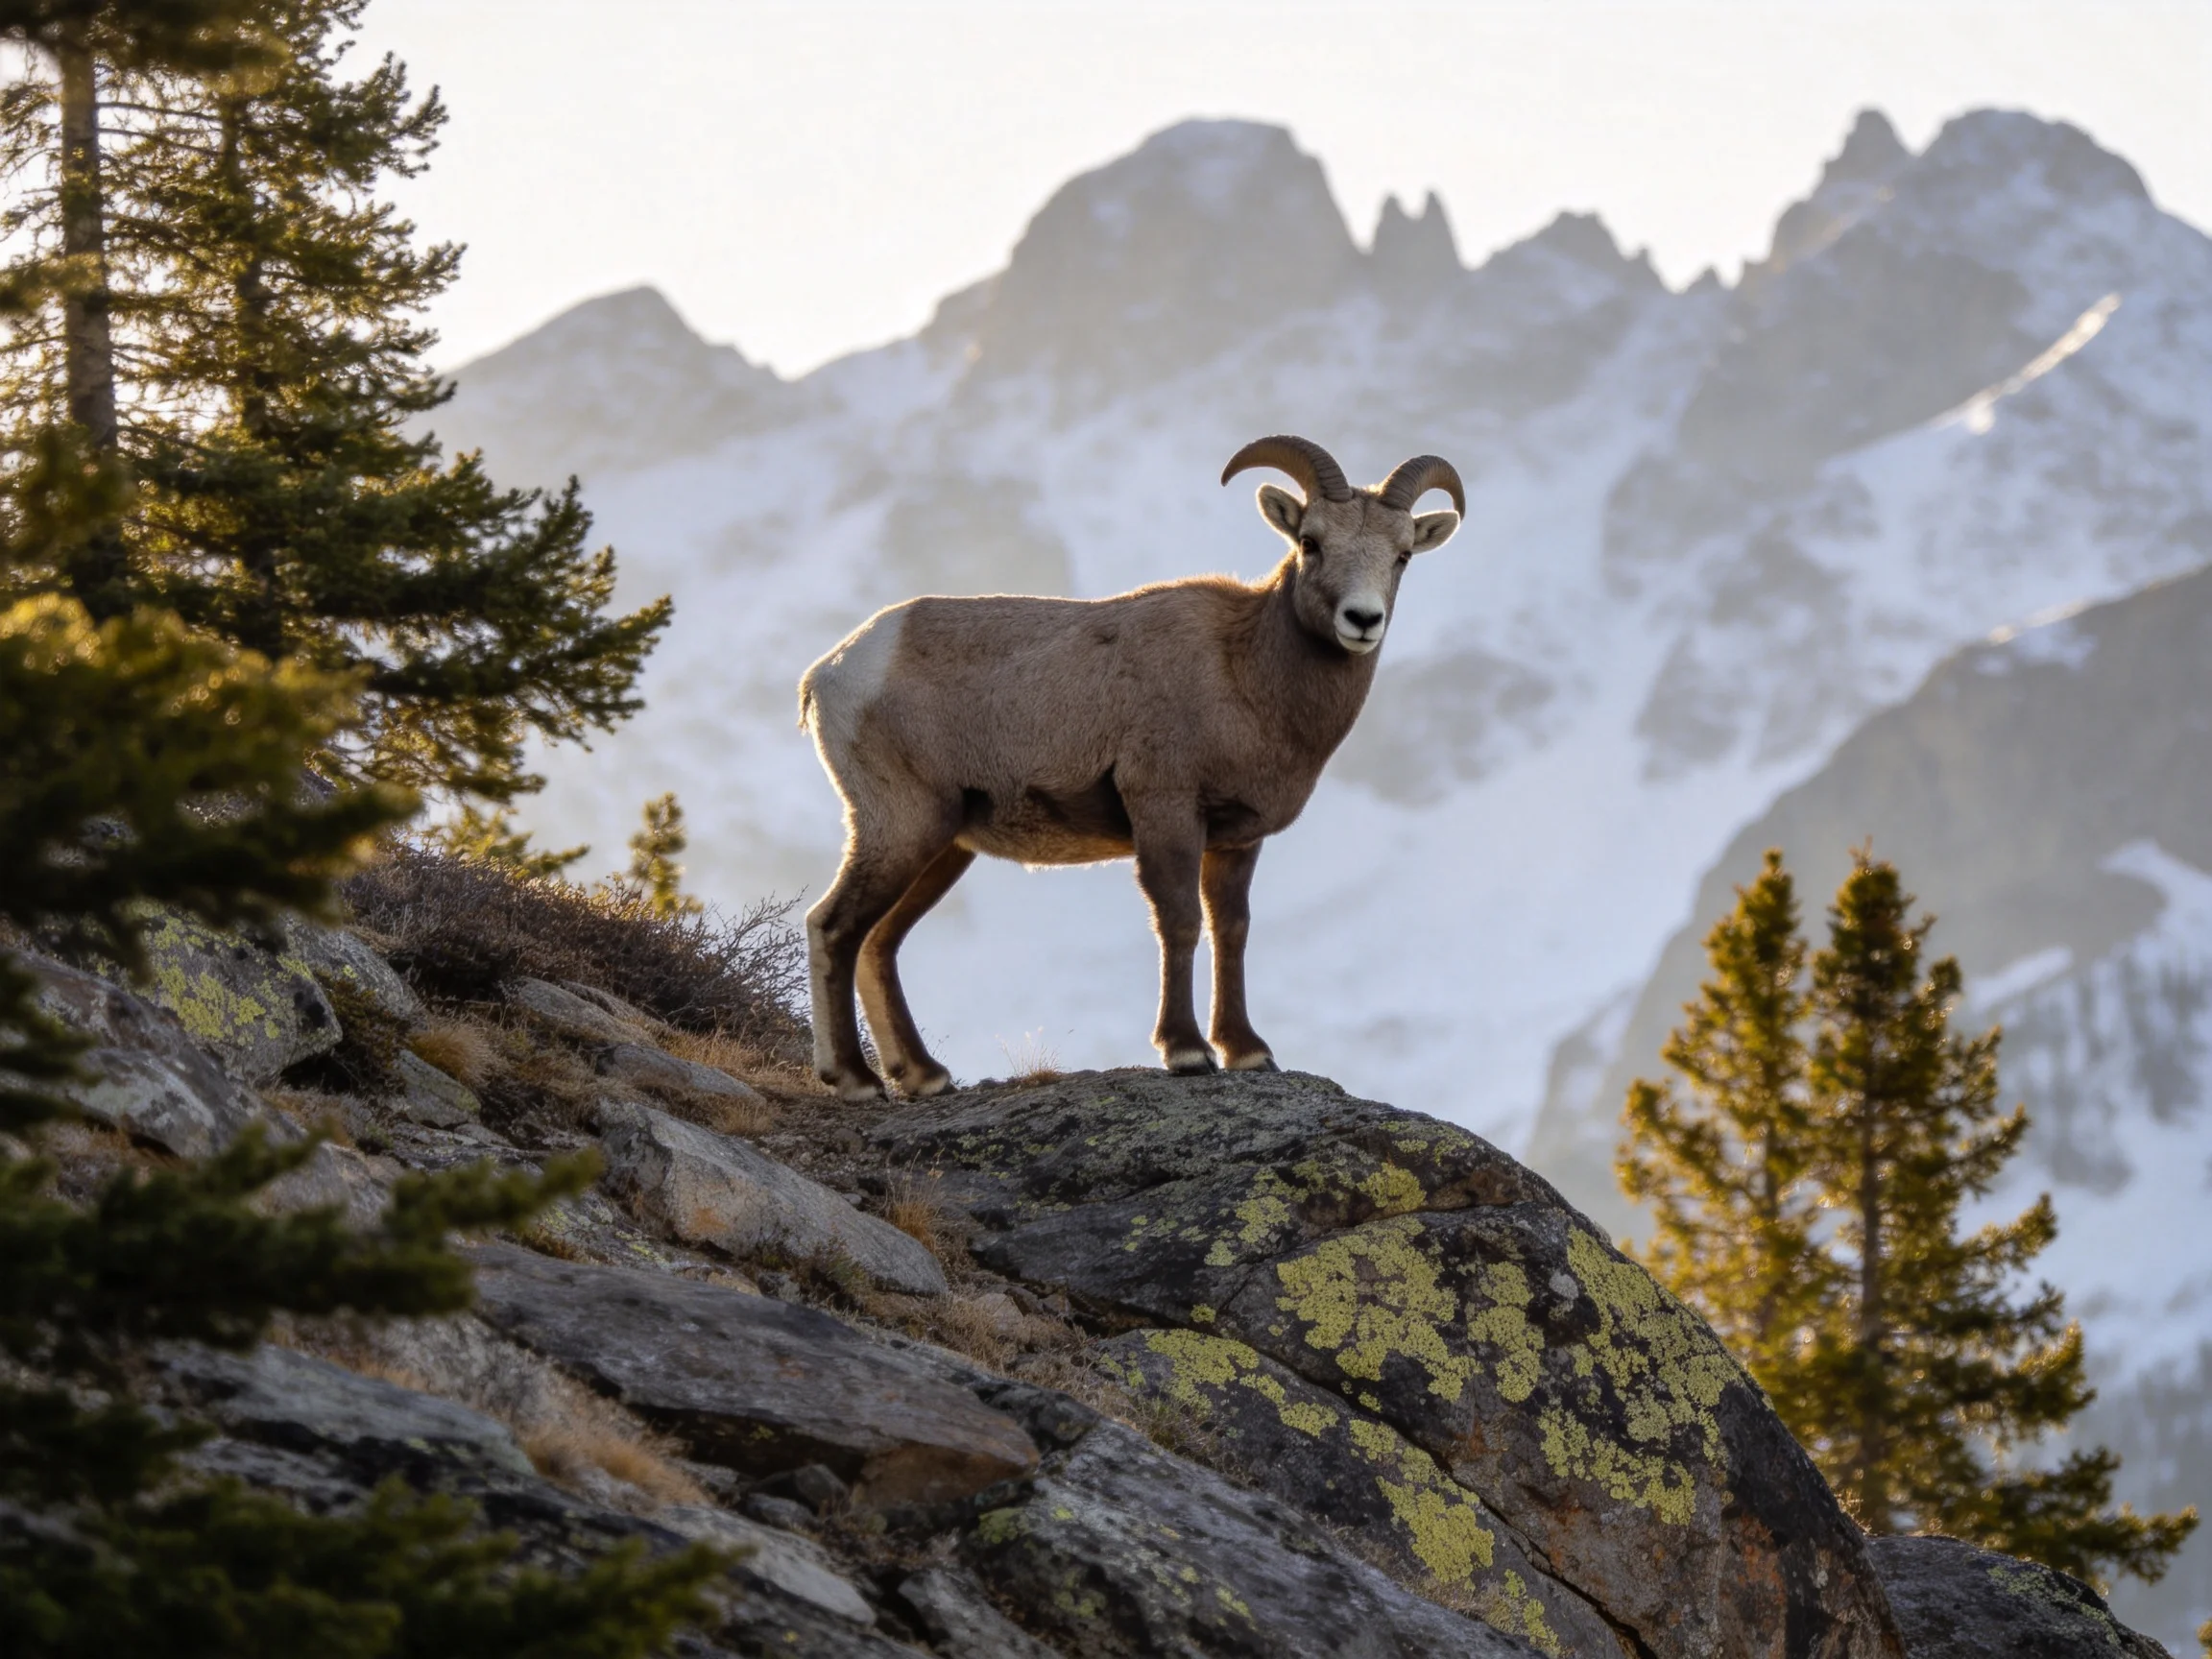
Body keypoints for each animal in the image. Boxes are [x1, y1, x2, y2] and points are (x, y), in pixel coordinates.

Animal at [797, 435, 1464, 1100]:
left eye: (1403, 555)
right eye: (1311, 541)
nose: (1362, 620)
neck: (1244, 675)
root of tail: (832, 671)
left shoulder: (1236, 839)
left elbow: (1232, 928)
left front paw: (1248, 1051)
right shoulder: (1165, 809)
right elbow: (1181, 920)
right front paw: (1187, 1051)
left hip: (945, 846)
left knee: (879, 942)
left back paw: (925, 1077)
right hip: (903, 825)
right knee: (833, 926)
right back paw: (855, 1080)